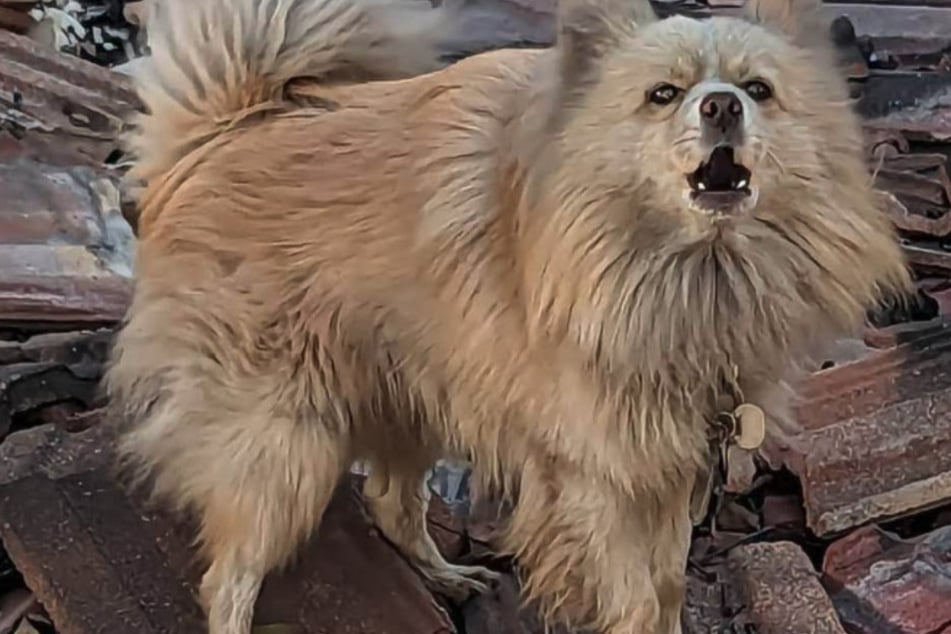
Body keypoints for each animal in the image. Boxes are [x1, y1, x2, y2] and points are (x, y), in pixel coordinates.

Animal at [106, 0, 916, 628]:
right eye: (662, 94)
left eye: (759, 89)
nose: (721, 105)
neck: (688, 272)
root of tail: (223, 127)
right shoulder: (605, 479)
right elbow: (634, 595)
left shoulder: (669, 463)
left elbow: (665, 586)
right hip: (283, 448)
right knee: (229, 578)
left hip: (409, 393)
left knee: (391, 502)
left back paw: (447, 577)